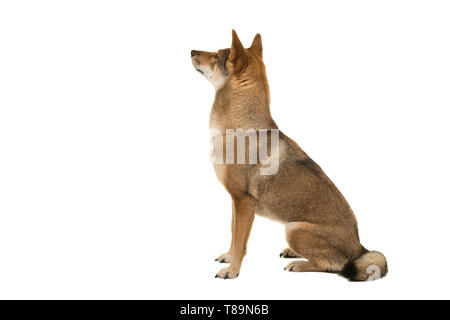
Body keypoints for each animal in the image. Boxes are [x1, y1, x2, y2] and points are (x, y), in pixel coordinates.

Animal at [190, 30, 386, 280]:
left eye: (216, 56)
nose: (191, 51)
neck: (240, 125)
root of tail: (360, 248)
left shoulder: (244, 201)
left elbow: (240, 242)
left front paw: (232, 270)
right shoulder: (235, 201)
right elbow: (233, 233)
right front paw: (228, 256)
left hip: (294, 229)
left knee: (333, 265)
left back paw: (299, 264)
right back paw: (293, 253)